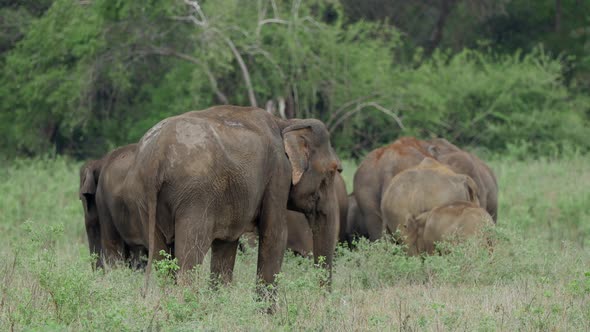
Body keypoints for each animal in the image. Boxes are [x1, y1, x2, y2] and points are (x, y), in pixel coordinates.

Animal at [121, 105, 342, 290]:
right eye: (332, 171)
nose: (322, 298)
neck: (286, 122)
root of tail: (156, 155)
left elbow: (226, 246)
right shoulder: (278, 175)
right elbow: (275, 234)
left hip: (143, 200)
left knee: (162, 261)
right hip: (194, 199)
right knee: (189, 261)